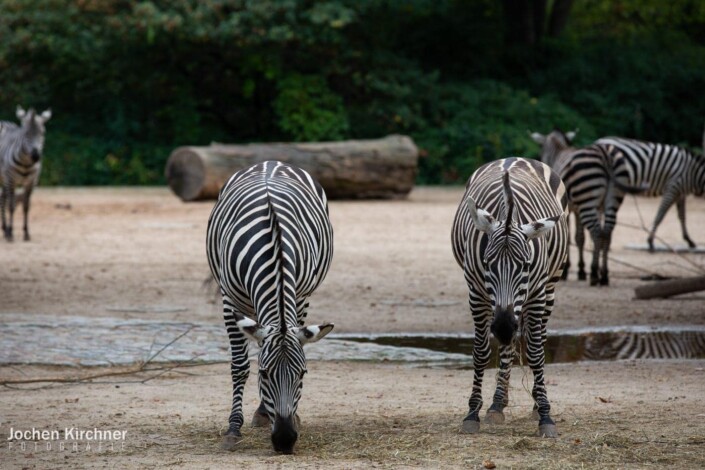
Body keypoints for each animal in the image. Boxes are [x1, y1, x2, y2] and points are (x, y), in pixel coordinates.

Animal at [0, 106, 52, 242]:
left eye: (42, 133)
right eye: (26, 134)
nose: (36, 156)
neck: (26, 163)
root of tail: (3, 122)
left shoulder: (31, 183)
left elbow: (26, 207)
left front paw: (26, 233)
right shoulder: (11, 180)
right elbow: (12, 206)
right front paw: (11, 233)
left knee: (3, 198)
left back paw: (4, 229)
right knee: (5, 200)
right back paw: (6, 230)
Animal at [206, 161, 334, 454]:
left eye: (302, 374)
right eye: (264, 373)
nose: (285, 440)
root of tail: (271, 163)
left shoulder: (300, 294)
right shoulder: (230, 299)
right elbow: (240, 365)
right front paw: (233, 429)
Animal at [451, 157, 568, 438]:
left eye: (525, 265)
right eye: (487, 263)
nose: (503, 326)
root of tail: (514, 158)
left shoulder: (535, 293)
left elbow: (536, 352)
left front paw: (545, 416)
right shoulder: (476, 292)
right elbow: (481, 351)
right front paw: (472, 413)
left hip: (551, 285)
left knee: (539, 339)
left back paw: (535, 403)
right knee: (507, 346)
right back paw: (497, 404)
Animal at [531, 130, 646, 285]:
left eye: (541, 149)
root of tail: (605, 154)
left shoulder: (566, 209)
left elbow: (570, 238)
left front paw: (568, 271)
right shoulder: (581, 210)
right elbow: (580, 238)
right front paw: (580, 271)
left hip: (587, 200)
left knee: (597, 232)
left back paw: (594, 273)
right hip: (611, 201)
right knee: (606, 233)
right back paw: (604, 275)